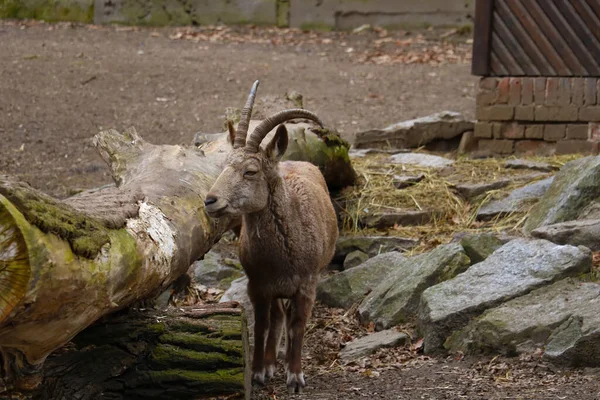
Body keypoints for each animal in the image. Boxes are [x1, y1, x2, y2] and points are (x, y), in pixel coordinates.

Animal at [205, 81, 338, 394]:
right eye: (223, 165)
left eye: (250, 171)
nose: (210, 200)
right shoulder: (257, 285)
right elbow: (261, 325)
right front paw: (258, 372)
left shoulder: (306, 284)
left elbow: (298, 325)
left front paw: (296, 377)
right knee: (276, 317)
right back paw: (269, 363)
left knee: (286, 319)